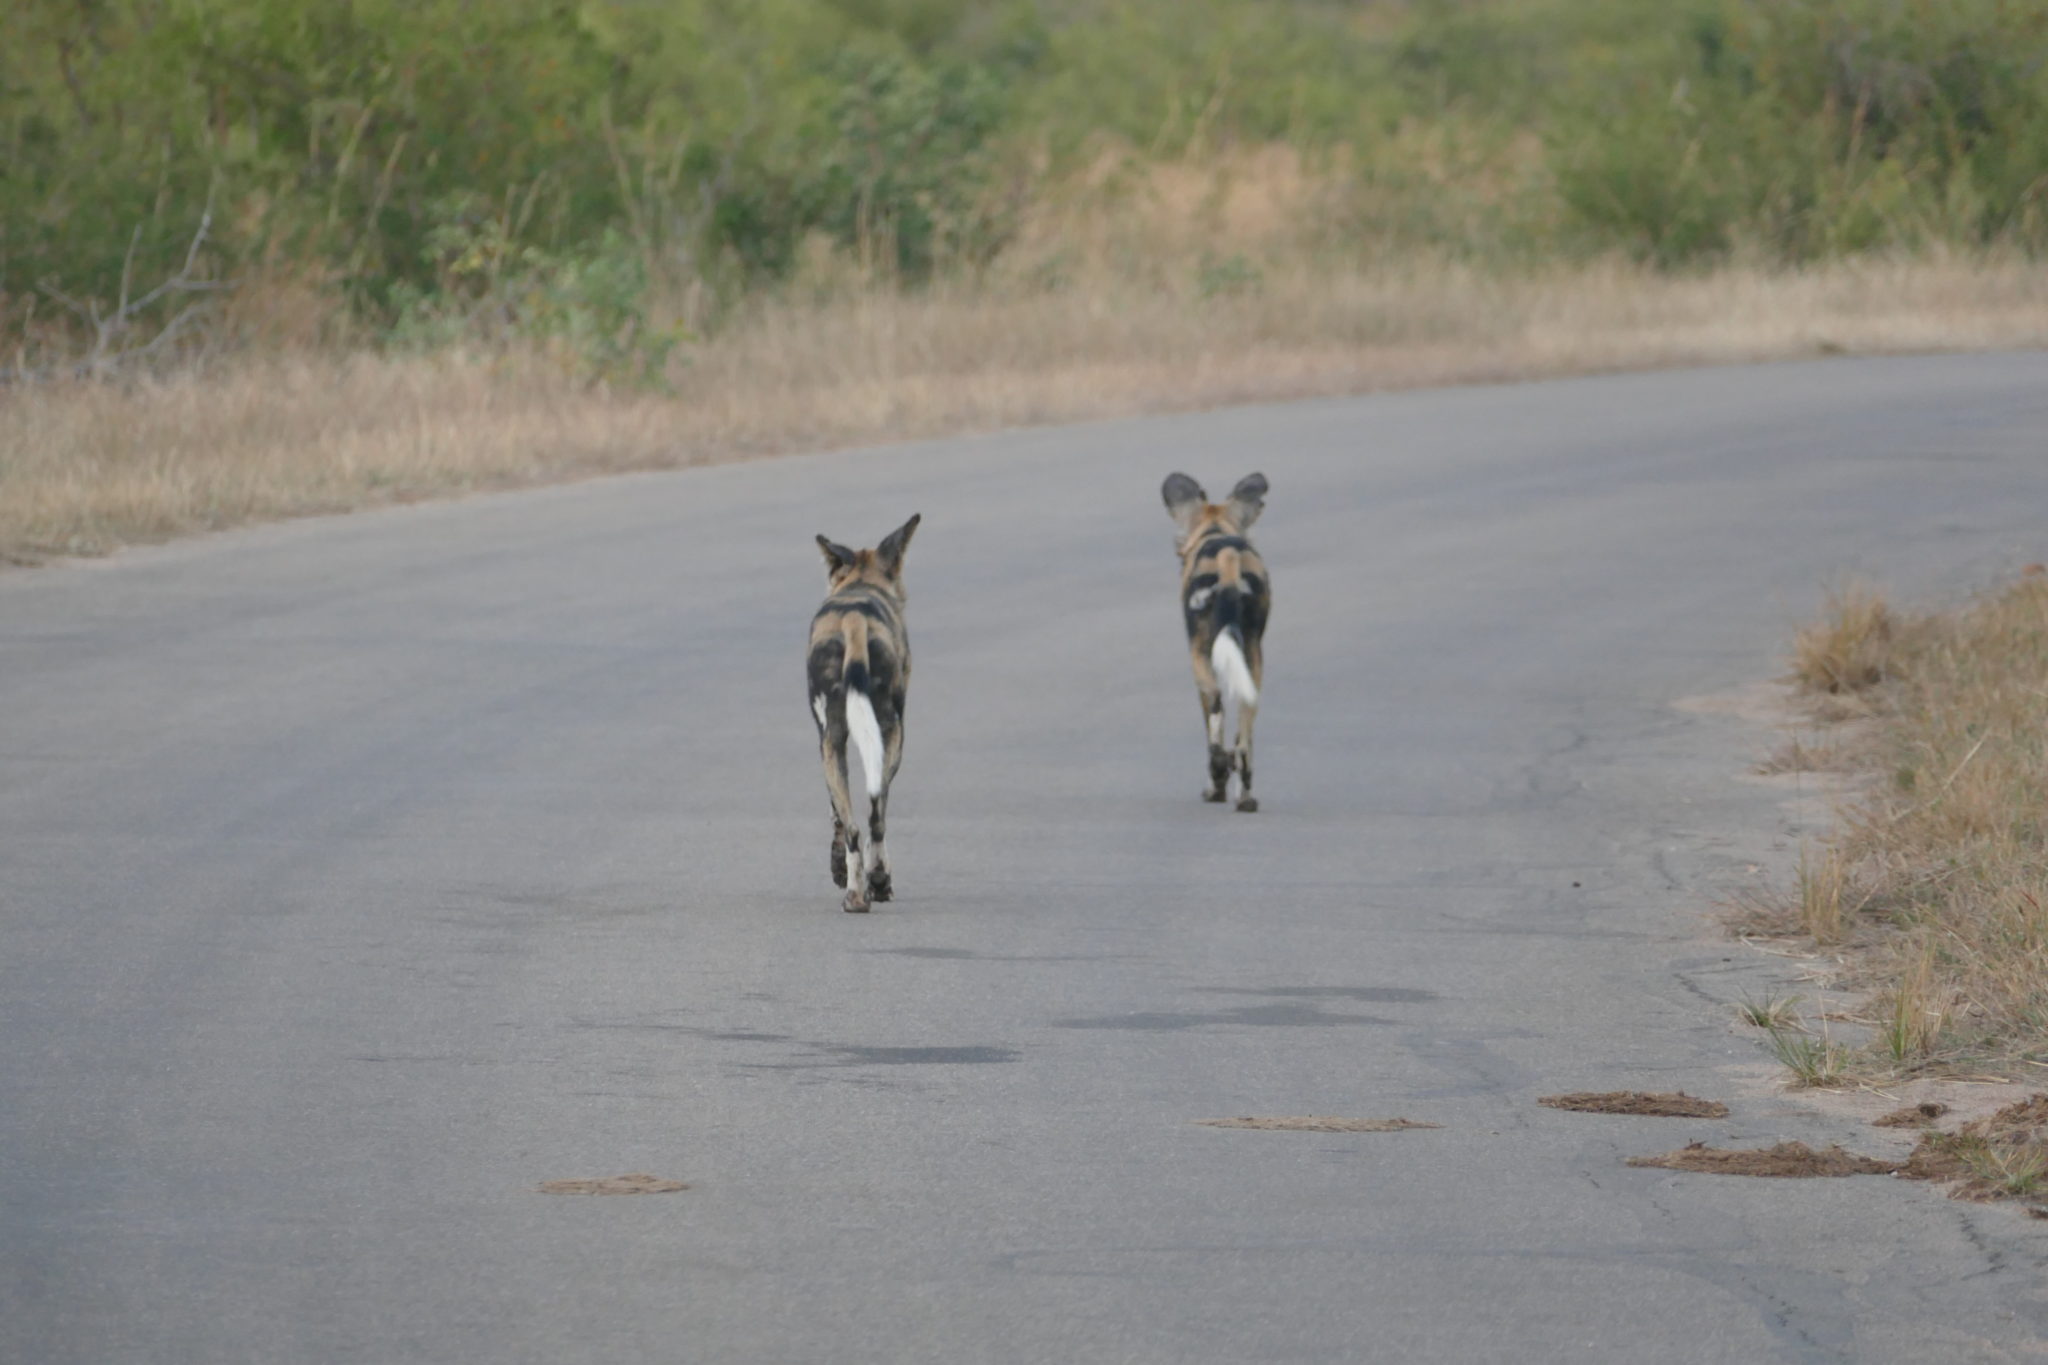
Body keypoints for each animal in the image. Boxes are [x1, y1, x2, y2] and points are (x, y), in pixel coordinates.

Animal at [806, 514, 920, 912]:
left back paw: (857, 894)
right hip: (890, 735)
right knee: (875, 818)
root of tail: (854, 618)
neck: (860, 585)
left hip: (836, 741)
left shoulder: (829, 739)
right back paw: (878, 883)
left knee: (860, 824)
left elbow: (838, 815)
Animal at [1161, 473, 1268, 811]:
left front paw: (1214, 787)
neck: (1215, 529)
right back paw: (1245, 798)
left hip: (1202, 658)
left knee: (1218, 713)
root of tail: (1227, 556)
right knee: (1244, 739)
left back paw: (1219, 778)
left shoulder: (1199, 657)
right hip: (1252, 662)